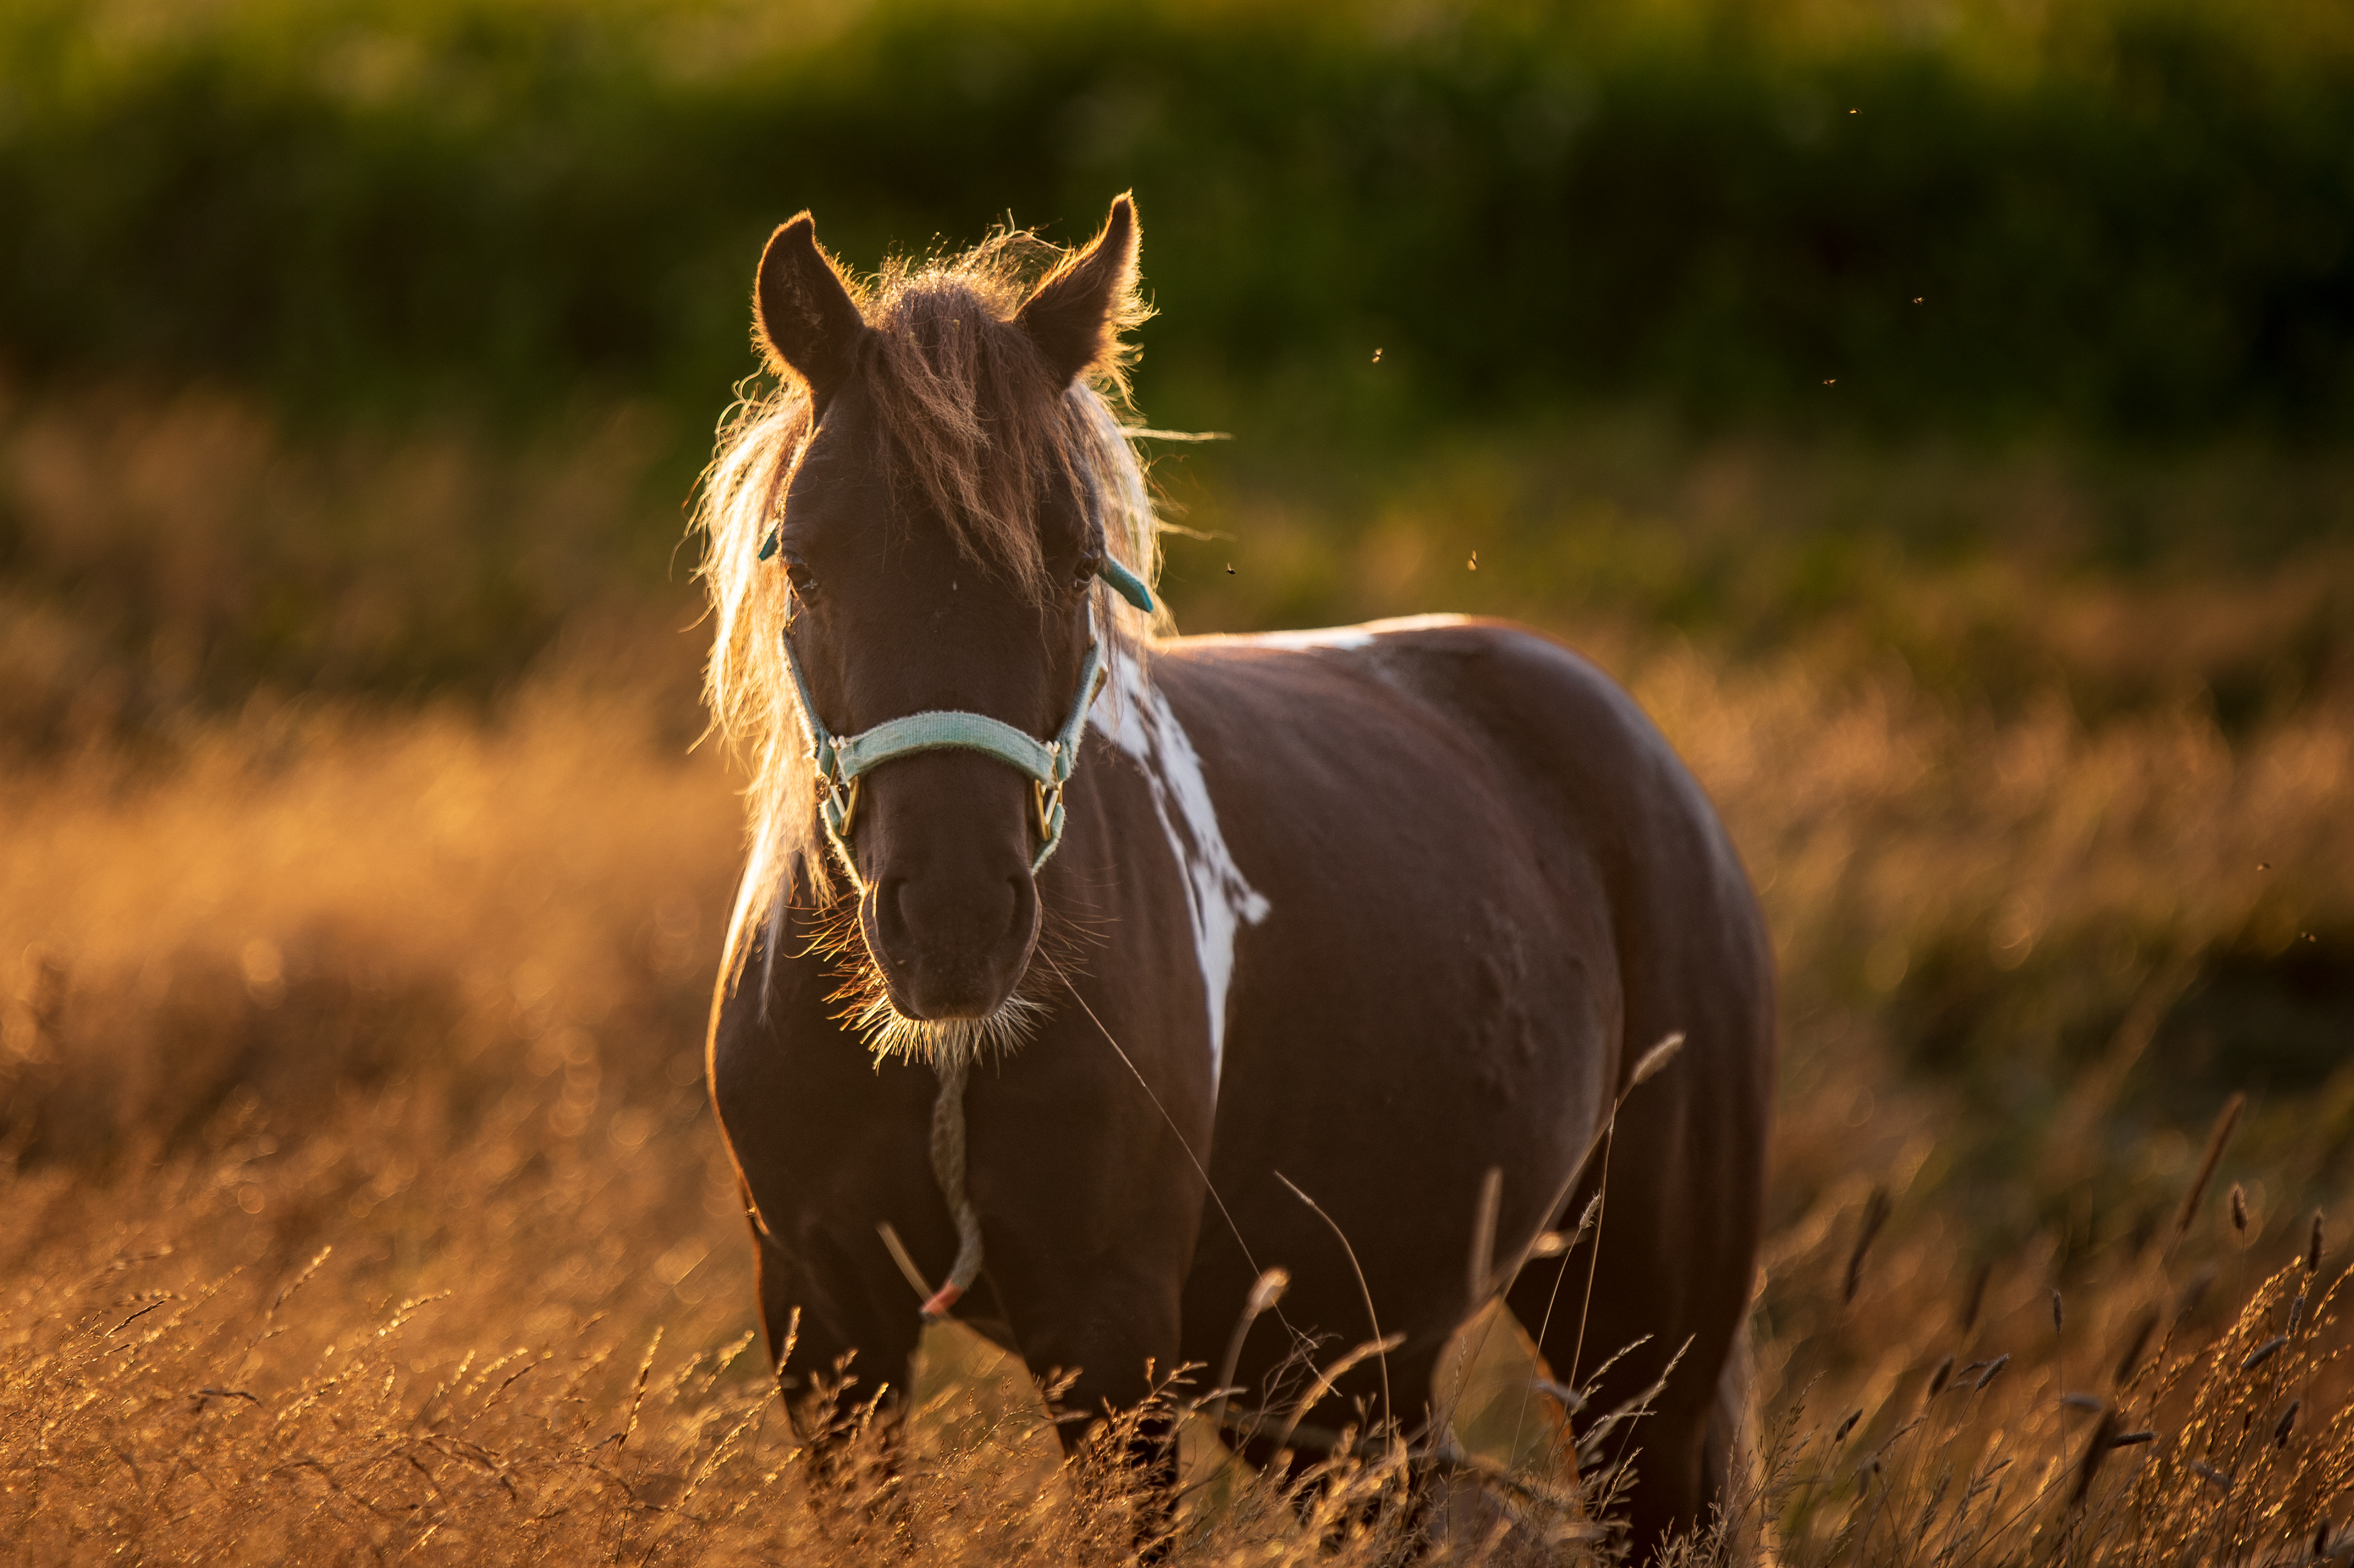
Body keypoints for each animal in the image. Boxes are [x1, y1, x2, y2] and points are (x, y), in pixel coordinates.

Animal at [696, 194, 1776, 1558]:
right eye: (810, 561)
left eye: (1075, 558)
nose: (953, 922)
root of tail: (1641, 749)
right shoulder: (825, 1326)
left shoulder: (1110, 1339)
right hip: (1334, 1367)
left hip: (1637, 1344)